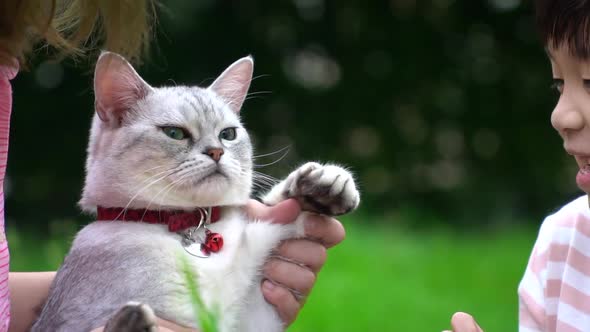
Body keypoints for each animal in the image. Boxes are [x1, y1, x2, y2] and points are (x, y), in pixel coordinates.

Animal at [31, 52, 360, 332]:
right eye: (175, 133)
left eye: (228, 134)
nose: (216, 152)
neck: (191, 225)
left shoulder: (251, 319)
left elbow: (275, 209)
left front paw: (324, 184)